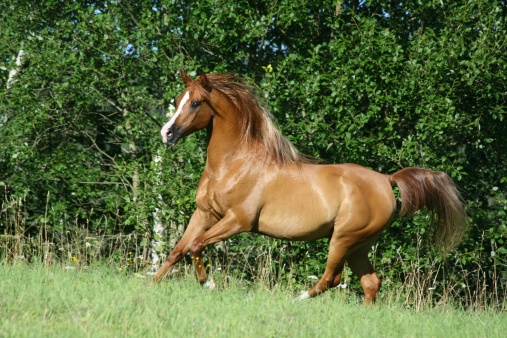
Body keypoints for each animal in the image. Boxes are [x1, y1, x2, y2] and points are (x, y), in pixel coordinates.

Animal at [155, 70, 468, 304]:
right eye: (178, 99)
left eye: (196, 103)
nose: (166, 134)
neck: (234, 165)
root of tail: (386, 180)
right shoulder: (205, 213)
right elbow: (177, 250)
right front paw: (152, 282)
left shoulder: (238, 221)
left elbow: (196, 245)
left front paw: (207, 284)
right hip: (359, 246)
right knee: (370, 282)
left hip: (342, 239)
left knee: (332, 279)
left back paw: (297, 299)